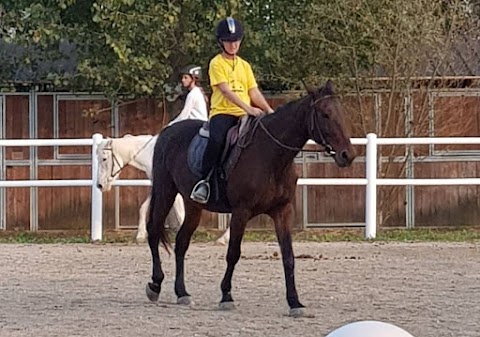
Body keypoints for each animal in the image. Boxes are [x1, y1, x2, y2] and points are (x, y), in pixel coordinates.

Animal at [95, 134, 231, 244]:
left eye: (104, 159)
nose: (100, 185)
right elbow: (143, 207)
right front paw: (140, 236)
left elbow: (179, 212)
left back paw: (223, 239)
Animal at [146, 80, 356, 316]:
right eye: (325, 114)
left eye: (341, 113)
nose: (347, 155)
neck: (271, 155)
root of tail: (167, 132)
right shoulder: (241, 211)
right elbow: (233, 253)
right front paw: (226, 296)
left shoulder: (283, 211)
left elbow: (288, 257)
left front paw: (295, 302)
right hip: (165, 192)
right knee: (154, 231)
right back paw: (155, 285)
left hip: (193, 206)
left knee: (182, 242)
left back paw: (182, 293)